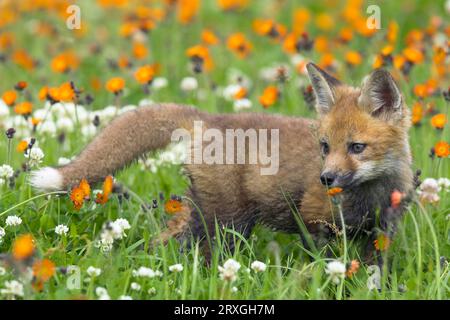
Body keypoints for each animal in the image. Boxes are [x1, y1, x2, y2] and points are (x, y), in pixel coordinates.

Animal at [29, 63, 414, 260]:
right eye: (324, 146)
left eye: (357, 147)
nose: (327, 178)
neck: (372, 196)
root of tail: (210, 118)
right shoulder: (316, 223)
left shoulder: (382, 233)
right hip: (226, 221)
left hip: (203, 215)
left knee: (164, 240)